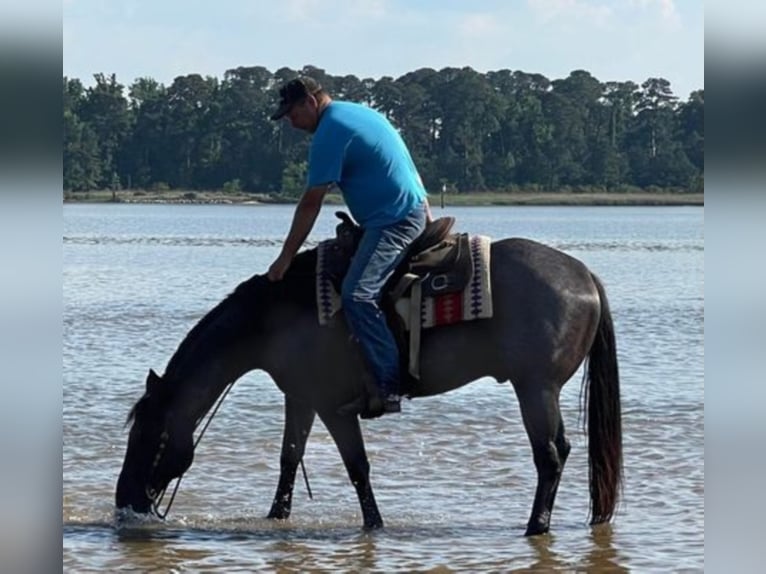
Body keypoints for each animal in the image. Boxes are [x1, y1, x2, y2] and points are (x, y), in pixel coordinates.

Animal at [115, 225, 624, 540]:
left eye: (147, 436)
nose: (123, 502)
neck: (275, 318)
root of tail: (585, 276)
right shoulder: (300, 396)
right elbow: (288, 459)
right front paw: (276, 518)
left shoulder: (331, 405)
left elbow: (357, 467)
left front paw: (375, 525)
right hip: (541, 390)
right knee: (560, 451)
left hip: (534, 388)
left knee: (549, 455)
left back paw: (535, 526)